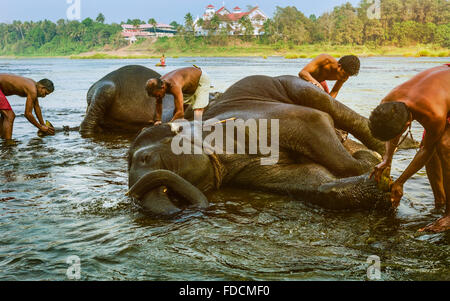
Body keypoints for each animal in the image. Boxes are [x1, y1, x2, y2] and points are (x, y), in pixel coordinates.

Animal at [126, 74, 404, 213]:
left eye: (145, 159)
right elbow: (312, 176)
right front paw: (377, 188)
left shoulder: (248, 122)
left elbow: (313, 120)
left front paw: (376, 168)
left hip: (293, 83)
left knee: (325, 105)